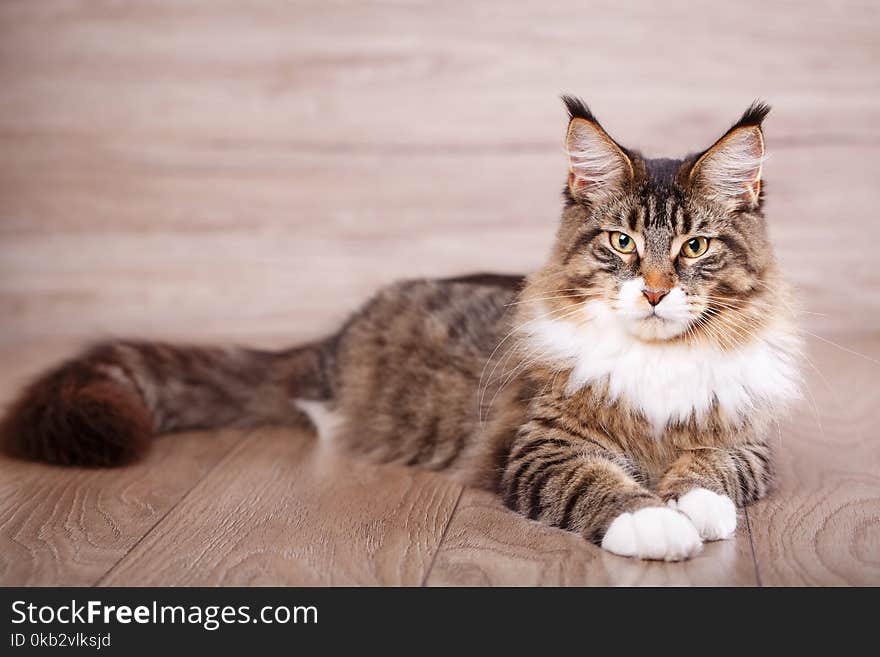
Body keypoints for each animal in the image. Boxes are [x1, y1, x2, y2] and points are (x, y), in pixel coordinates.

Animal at [0, 96, 800, 560]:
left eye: (694, 248)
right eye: (622, 243)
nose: (658, 291)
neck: (656, 363)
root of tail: (332, 338)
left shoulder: (748, 436)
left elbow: (716, 469)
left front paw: (693, 505)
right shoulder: (536, 444)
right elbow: (595, 482)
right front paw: (655, 521)